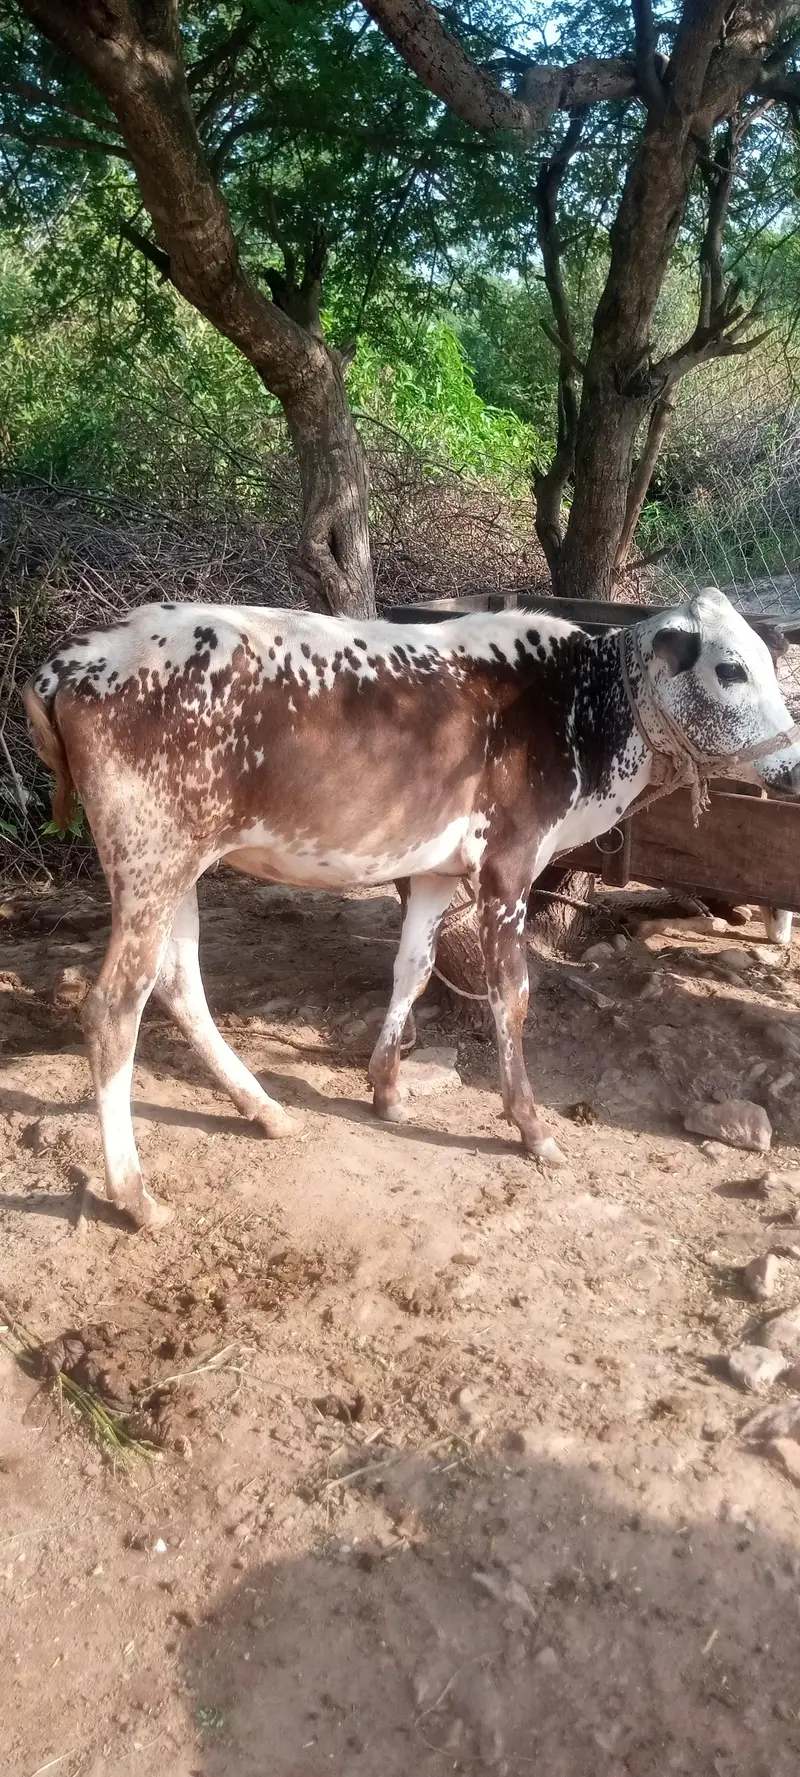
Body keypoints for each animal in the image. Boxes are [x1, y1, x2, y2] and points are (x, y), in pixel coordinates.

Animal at [23, 586, 800, 1230]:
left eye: (769, 662)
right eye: (731, 670)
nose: (792, 765)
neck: (581, 705)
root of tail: (72, 659)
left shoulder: (432, 871)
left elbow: (414, 968)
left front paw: (387, 1090)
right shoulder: (508, 866)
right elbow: (511, 994)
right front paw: (531, 1126)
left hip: (179, 864)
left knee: (179, 983)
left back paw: (264, 1108)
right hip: (149, 857)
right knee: (114, 1007)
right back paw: (135, 1193)